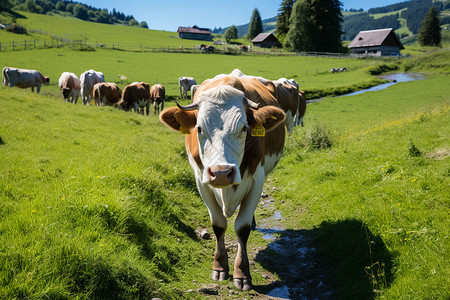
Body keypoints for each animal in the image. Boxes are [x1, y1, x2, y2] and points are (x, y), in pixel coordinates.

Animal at [159, 73, 284, 290]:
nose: (221, 173)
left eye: (244, 127)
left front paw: (242, 273)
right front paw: (219, 267)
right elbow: (218, 225)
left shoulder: (257, 179)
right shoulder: (201, 180)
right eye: (199, 128)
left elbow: (242, 227)